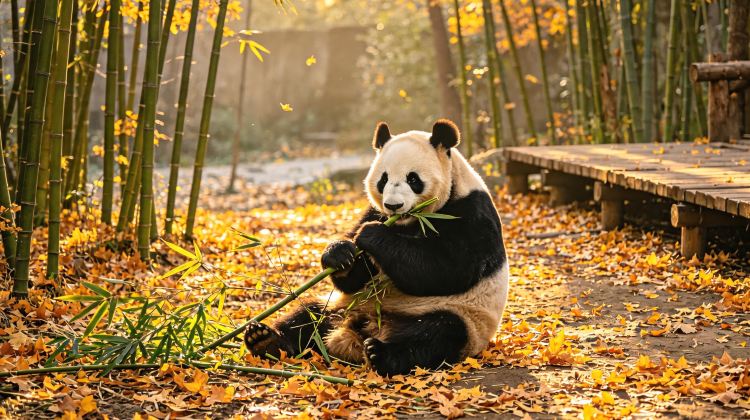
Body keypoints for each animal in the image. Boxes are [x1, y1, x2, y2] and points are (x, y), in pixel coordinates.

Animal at [244, 119, 509, 376]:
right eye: (383, 179)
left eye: (413, 179)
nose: (393, 205)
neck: (409, 222)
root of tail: (364, 327)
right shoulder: (373, 211)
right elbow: (355, 277)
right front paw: (340, 254)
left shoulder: (471, 213)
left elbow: (446, 269)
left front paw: (372, 235)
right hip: (341, 306)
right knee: (307, 317)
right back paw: (265, 339)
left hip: (462, 319)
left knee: (438, 334)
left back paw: (380, 354)